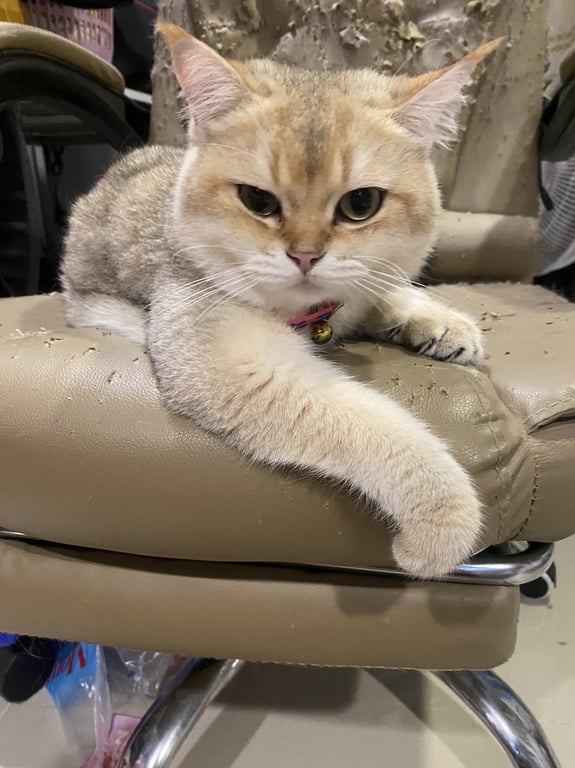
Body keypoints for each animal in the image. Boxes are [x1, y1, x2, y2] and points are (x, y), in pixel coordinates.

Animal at [61, 23, 500, 577]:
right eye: (258, 201)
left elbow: (382, 291)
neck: (315, 315)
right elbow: (370, 422)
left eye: (361, 204)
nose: (305, 256)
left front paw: (440, 324)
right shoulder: (232, 364)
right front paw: (443, 517)